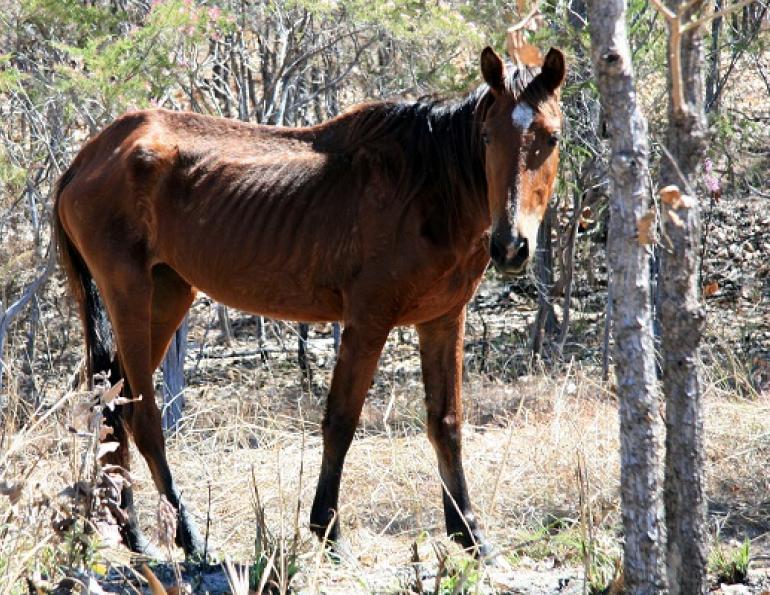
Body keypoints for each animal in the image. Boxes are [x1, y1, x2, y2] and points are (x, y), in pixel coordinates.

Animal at [54, 46, 565, 559]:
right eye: (486, 136)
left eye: (552, 137)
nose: (510, 246)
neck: (428, 188)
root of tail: (88, 156)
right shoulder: (368, 321)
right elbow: (341, 421)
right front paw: (327, 530)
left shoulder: (443, 319)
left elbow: (447, 423)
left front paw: (470, 534)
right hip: (129, 294)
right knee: (141, 416)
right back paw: (191, 539)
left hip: (166, 293)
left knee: (110, 406)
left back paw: (134, 533)